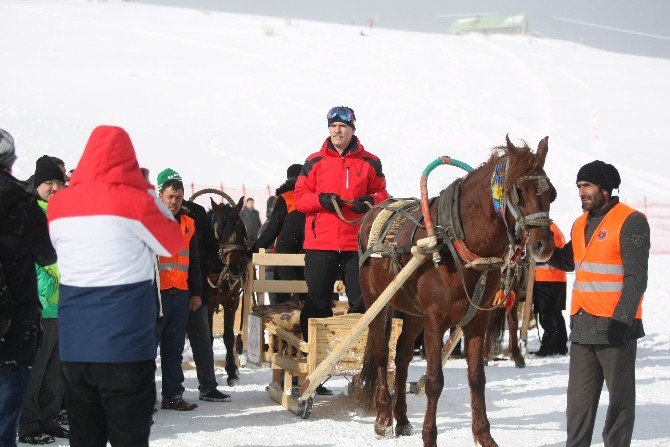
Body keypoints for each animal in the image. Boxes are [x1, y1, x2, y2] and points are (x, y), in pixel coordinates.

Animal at [362, 137, 556, 447]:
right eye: (519, 191)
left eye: (551, 193)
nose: (543, 246)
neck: (456, 243)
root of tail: (373, 211)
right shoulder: (435, 319)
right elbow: (433, 381)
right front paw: (430, 438)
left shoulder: (476, 320)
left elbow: (477, 378)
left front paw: (484, 436)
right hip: (378, 304)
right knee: (382, 354)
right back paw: (382, 417)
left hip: (414, 315)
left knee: (402, 358)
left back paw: (401, 418)